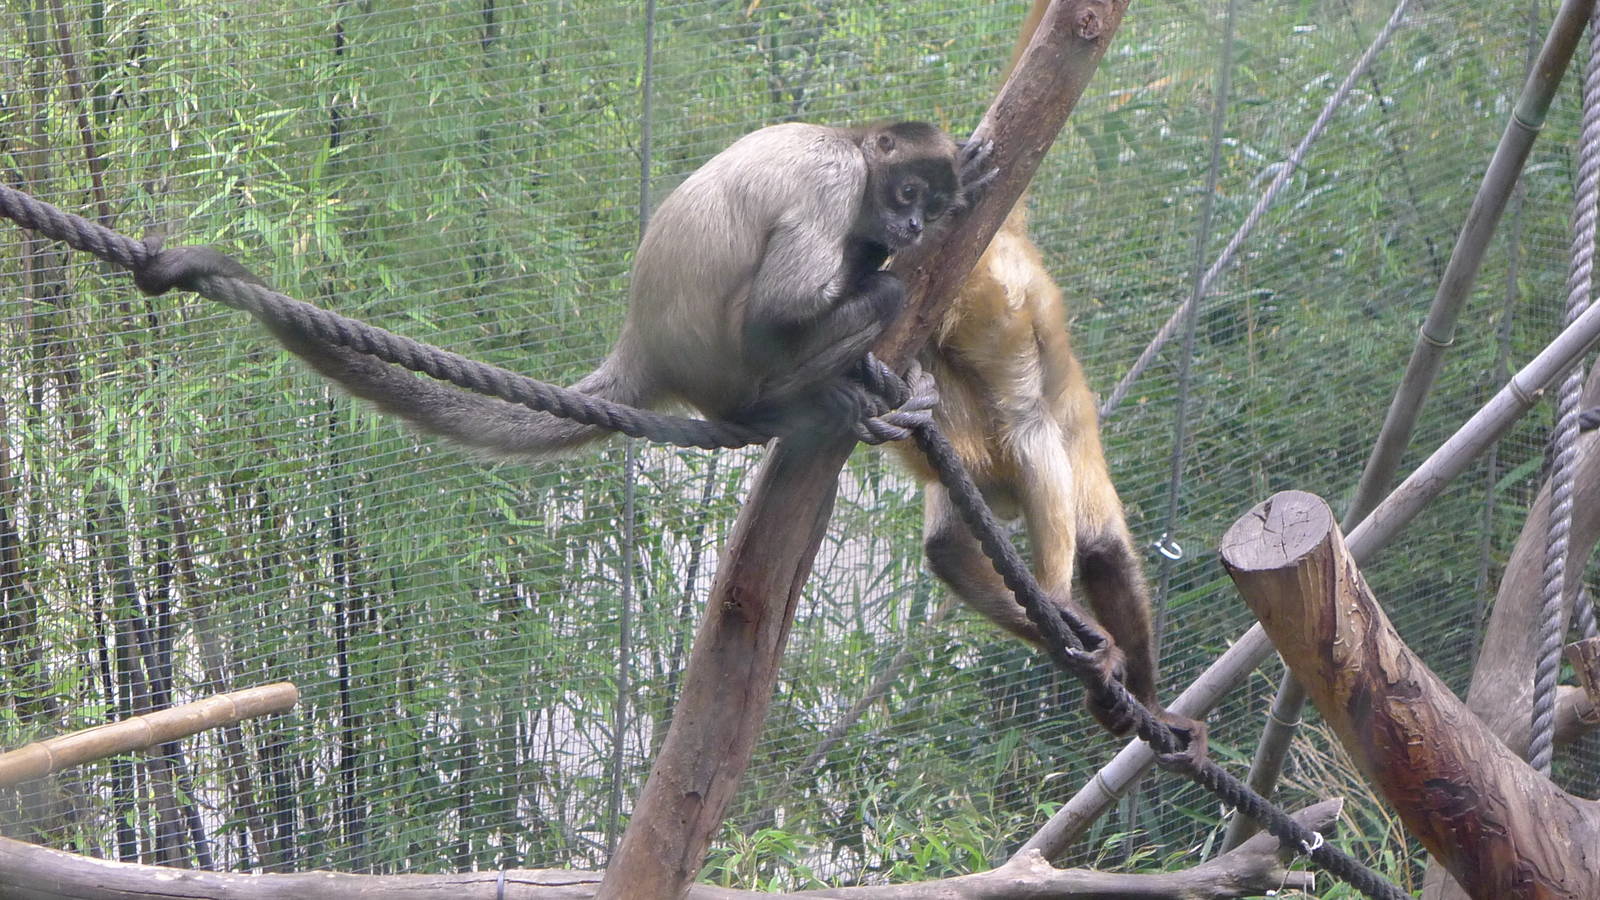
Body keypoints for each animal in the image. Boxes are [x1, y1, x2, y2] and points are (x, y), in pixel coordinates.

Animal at [135, 120, 990, 450]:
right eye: (908, 193)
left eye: (929, 203)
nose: (916, 226)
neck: (846, 135)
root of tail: (645, 346)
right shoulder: (835, 179)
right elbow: (783, 308)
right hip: (738, 374)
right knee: (867, 302)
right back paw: (795, 401)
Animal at [891, 0, 1160, 723]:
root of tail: (1003, 237)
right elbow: (1106, 551)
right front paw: (1139, 691)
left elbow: (949, 548)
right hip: (998, 302)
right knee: (1030, 420)